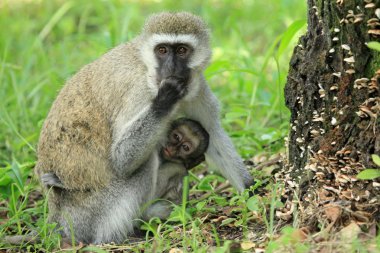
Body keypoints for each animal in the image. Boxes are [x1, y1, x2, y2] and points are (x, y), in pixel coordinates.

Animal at [33, 11, 252, 243]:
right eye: (162, 50)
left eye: (181, 50)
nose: (171, 69)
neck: (147, 69)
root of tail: (57, 217)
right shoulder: (137, 91)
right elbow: (121, 158)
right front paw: (164, 100)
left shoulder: (196, 84)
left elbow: (213, 132)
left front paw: (251, 190)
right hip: (88, 212)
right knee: (145, 164)